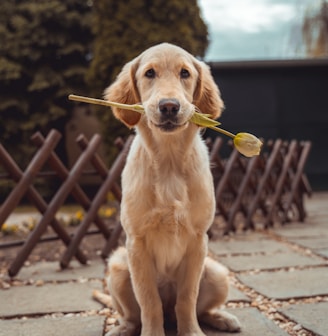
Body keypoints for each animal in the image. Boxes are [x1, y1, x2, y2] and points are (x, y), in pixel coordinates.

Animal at [101, 43, 240, 336]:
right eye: (149, 73)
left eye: (185, 73)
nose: (169, 106)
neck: (168, 162)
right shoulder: (137, 243)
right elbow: (149, 301)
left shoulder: (198, 240)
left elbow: (187, 298)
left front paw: (192, 332)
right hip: (118, 267)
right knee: (133, 315)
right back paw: (122, 328)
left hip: (217, 273)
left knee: (198, 309)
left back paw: (222, 318)